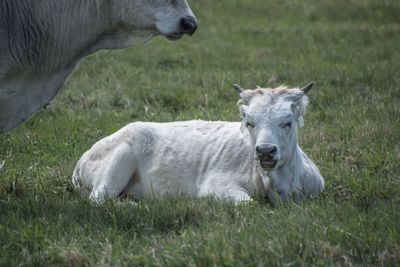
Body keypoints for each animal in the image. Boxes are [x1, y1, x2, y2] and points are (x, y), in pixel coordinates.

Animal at [72, 83, 324, 205]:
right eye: (250, 123)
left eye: (287, 122)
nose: (265, 151)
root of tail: (83, 158)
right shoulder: (214, 186)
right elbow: (248, 204)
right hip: (119, 160)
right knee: (99, 200)